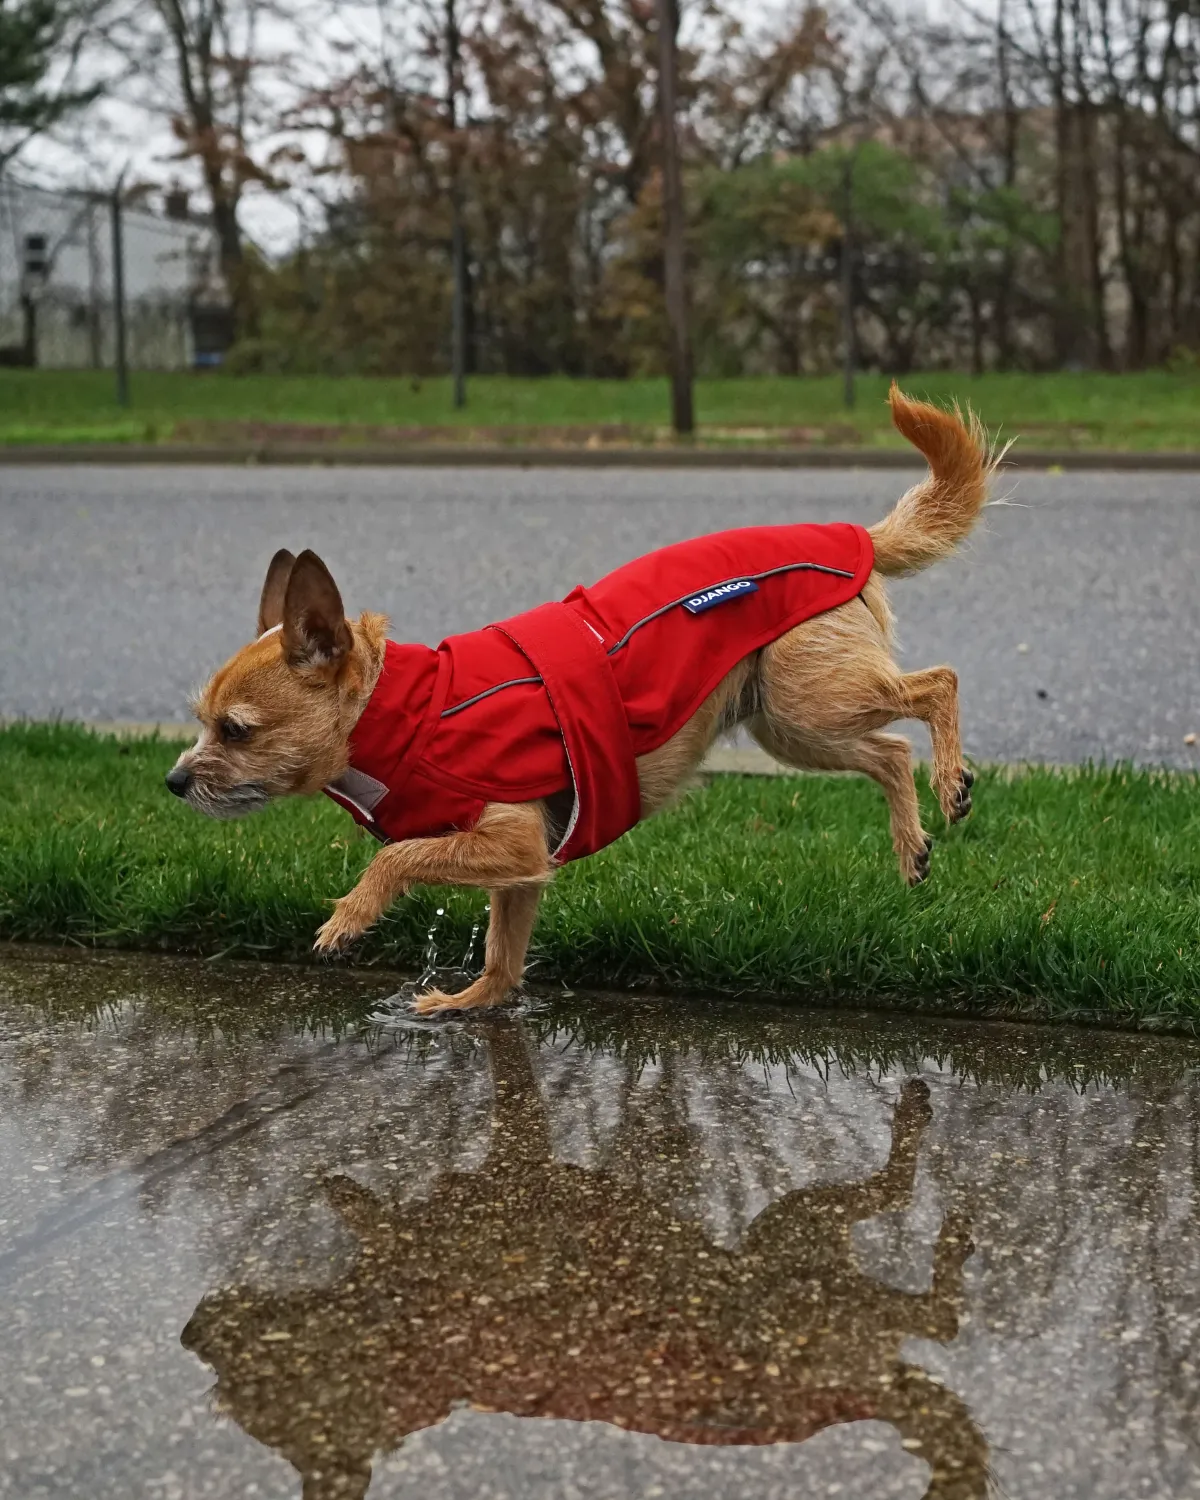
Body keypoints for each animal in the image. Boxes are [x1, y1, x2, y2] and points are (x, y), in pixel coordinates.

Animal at [168, 393, 996, 1014]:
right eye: (201, 723)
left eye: (235, 731)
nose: (173, 781)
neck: (404, 710)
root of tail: (854, 535)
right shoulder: (524, 868)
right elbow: (503, 952)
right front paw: (472, 1003)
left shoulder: (509, 839)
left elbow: (397, 856)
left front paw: (350, 917)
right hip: (790, 726)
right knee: (889, 751)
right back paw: (912, 844)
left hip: (810, 703)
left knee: (940, 684)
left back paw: (950, 782)